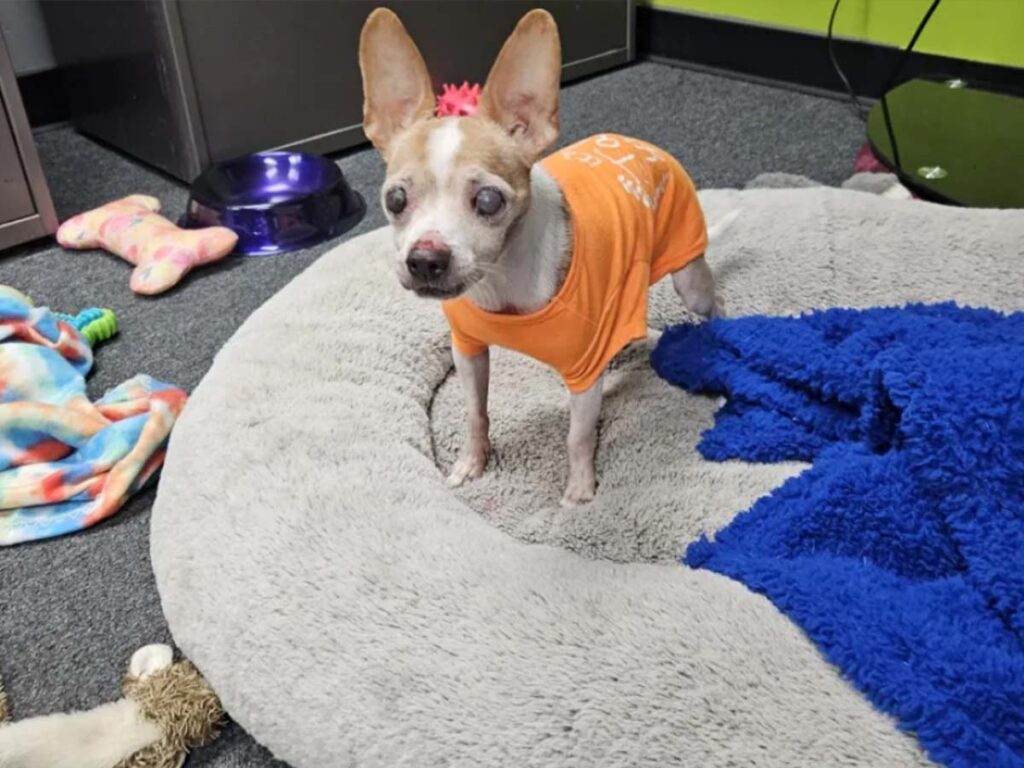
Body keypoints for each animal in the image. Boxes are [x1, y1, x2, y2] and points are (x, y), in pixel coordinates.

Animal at [360, 10, 729, 512]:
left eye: (489, 200)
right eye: (395, 200)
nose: (425, 259)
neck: (501, 283)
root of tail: (642, 145)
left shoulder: (584, 374)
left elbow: (578, 436)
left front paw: (580, 490)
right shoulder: (468, 350)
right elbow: (475, 413)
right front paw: (471, 463)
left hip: (690, 279)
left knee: (714, 305)